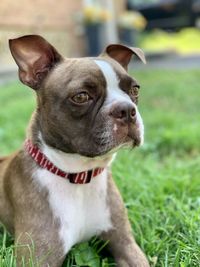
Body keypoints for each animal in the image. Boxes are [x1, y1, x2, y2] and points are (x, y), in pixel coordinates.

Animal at [0, 34, 149, 266]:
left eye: (135, 90)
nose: (126, 109)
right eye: (81, 97)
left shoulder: (125, 243)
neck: (78, 176)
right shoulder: (37, 257)